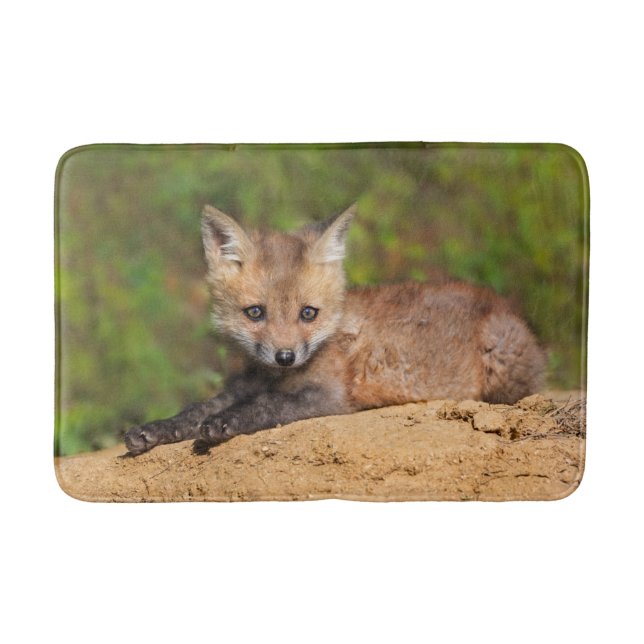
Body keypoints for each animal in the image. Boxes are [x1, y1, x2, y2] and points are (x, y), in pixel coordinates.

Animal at [124, 204, 546, 455]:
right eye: (255, 313)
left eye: (308, 313)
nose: (285, 356)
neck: (276, 376)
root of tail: (503, 304)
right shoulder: (243, 386)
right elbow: (196, 408)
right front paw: (154, 430)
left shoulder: (329, 397)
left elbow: (267, 406)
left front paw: (223, 424)